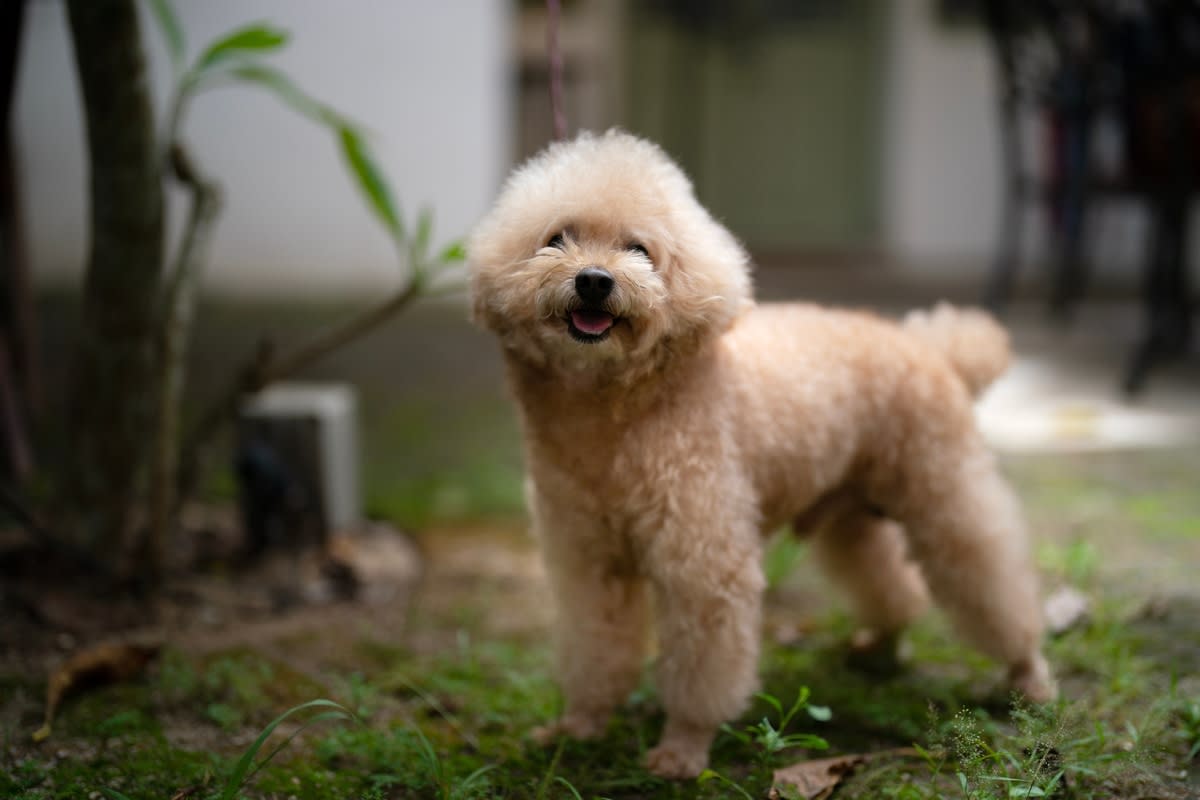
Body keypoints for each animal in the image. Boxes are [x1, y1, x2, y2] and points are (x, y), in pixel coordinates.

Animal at [465, 133, 1051, 782]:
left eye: (638, 248)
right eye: (556, 239)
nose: (594, 280)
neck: (612, 415)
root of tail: (932, 348)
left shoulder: (702, 561)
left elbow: (702, 668)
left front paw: (682, 750)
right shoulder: (588, 562)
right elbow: (596, 648)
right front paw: (579, 726)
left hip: (944, 490)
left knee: (991, 578)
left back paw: (1028, 675)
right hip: (851, 513)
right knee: (893, 585)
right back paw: (878, 647)